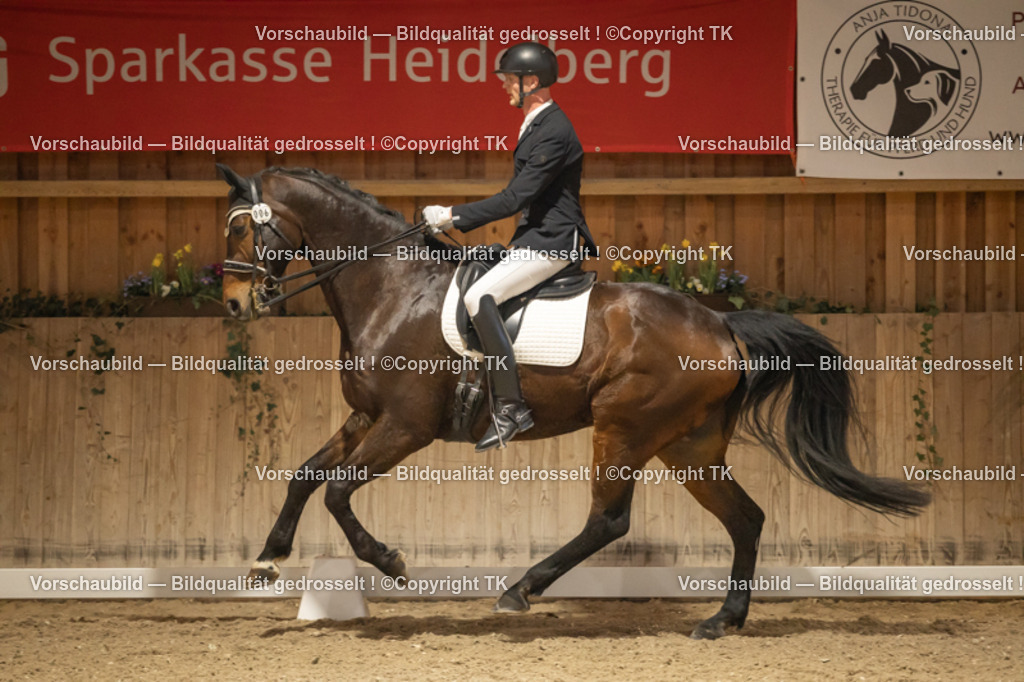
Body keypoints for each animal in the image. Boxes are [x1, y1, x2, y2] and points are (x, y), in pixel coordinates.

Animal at [216, 164, 930, 639]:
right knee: (745, 519)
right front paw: (266, 561)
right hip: (687, 445)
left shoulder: (406, 425)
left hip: (624, 427)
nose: (232, 304)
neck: (393, 287)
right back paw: (722, 620)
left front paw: (390, 563)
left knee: (609, 521)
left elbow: (337, 491)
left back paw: (520, 590)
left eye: (242, 232)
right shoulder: (365, 416)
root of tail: (721, 323)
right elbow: (305, 475)